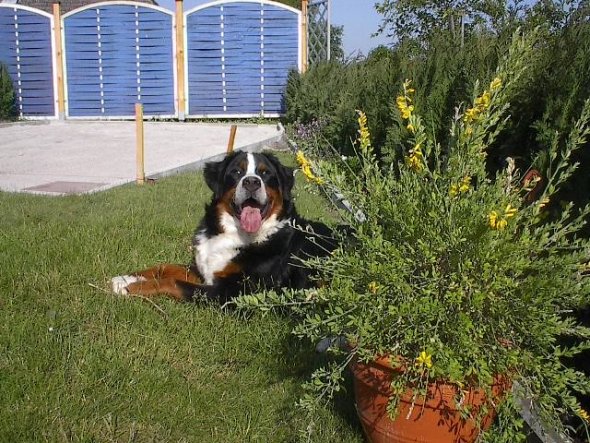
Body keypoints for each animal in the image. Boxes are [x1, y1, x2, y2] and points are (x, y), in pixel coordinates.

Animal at [110, 151, 338, 304]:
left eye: (265, 174)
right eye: (236, 171)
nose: (252, 182)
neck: (234, 232)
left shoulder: (232, 291)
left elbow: (173, 282)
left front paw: (132, 287)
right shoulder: (206, 271)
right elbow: (167, 267)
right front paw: (126, 278)